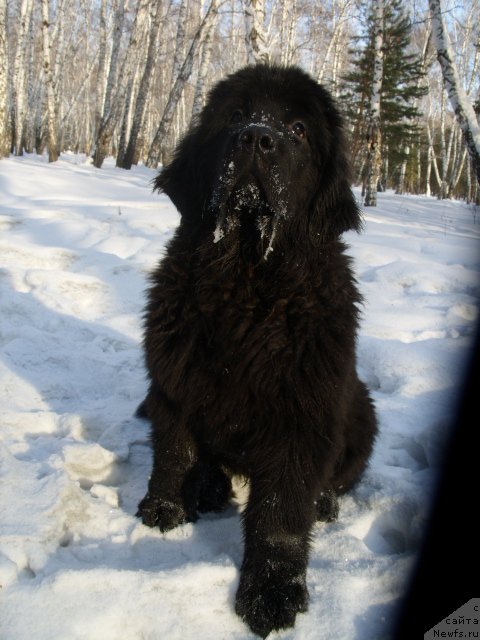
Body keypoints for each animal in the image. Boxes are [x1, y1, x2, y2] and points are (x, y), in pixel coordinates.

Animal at [137, 66, 376, 640]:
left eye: (298, 129)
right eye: (238, 115)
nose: (256, 139)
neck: (247, 282)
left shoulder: (301, 414)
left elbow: (281, 514)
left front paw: (271, 594)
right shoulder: (173, 381)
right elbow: (174, 450)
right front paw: (164, 506)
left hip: (361, 408)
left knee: (338, 476)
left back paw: (325, 502)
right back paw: (208, 487)